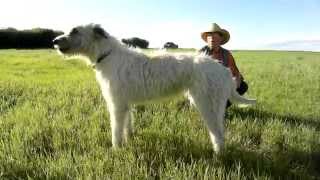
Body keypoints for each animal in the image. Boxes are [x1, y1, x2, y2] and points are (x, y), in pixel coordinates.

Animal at [53, 23, 256, 153]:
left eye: (75, 30)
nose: (54, 41)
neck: (107, 54)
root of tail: (224, 71)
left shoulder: (116, 104)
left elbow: (116, 129)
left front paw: (116, 150)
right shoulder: (125, 104)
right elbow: (127, 125)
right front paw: (129, 139)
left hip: (207, 104)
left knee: (218, 134)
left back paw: (218, 156)